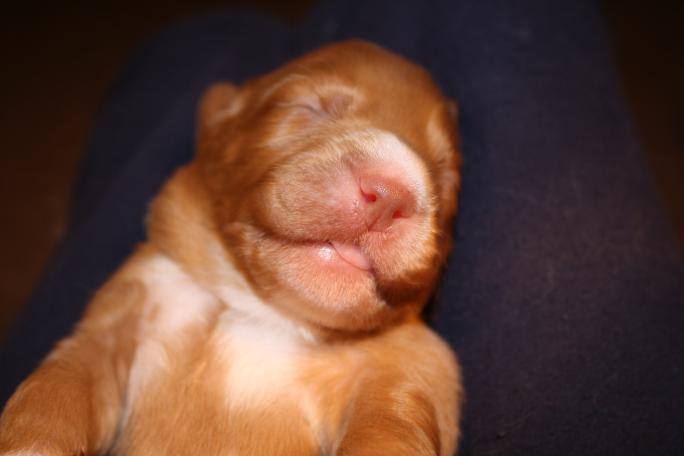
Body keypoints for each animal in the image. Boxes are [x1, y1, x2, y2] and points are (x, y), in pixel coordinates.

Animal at [0, 40, 463, 455]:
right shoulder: (113, 324)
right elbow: (52, 396)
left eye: (445, 178)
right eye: (306, 107)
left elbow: (391, 429)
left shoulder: (405, 373)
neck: (262, 314)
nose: (388, 194)